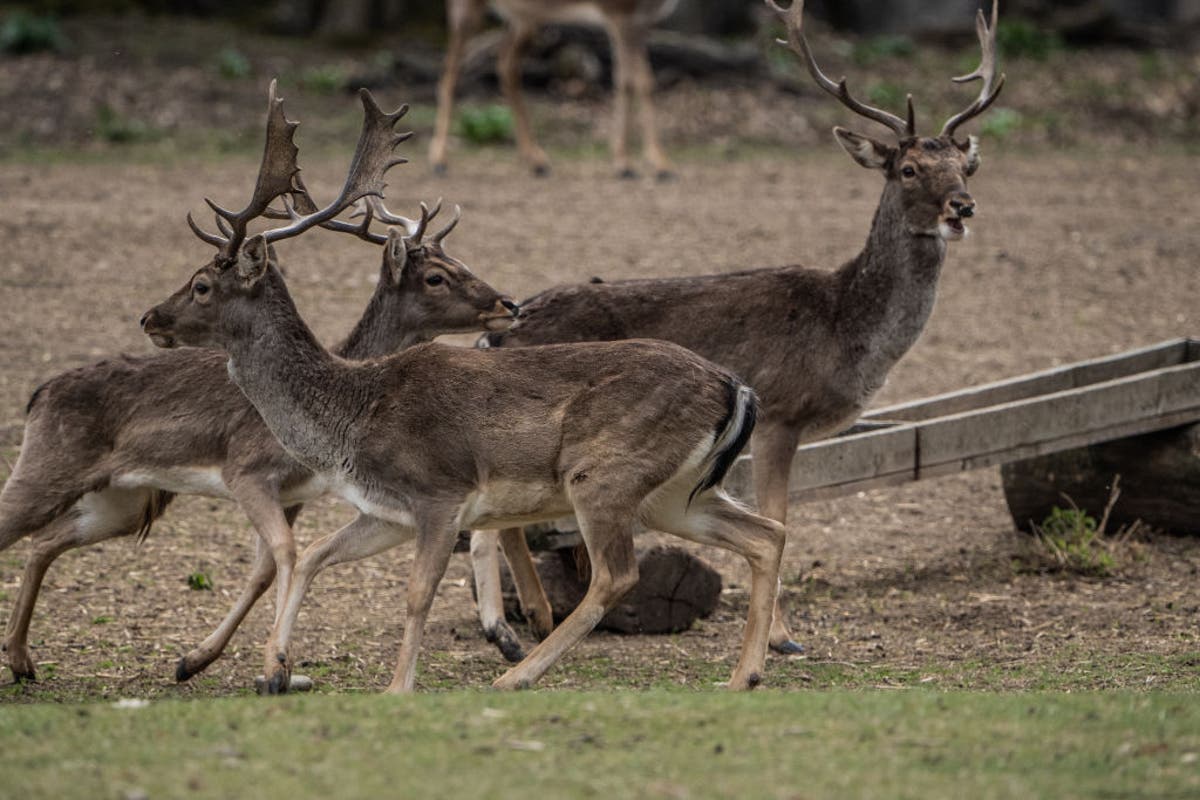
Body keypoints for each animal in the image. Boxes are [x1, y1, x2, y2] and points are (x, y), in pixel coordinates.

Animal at [0, 82, 518, 686]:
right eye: (436, 276)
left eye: (459, 262)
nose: (507, 303)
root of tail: (39, 394)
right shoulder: (246, 468)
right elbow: (284, 557)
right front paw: (267, 665)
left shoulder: (294, 492)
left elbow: (270, 566)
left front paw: (224, 661)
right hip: (47, 468)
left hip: (122, 499)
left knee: (46, 540)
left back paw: (21, 658)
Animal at [139, 84, 785, 696]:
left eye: (201, 285)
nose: (149, 318)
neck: (351, 416)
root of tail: (735, 387)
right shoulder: (386, 510)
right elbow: (315, 554)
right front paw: (273, 669)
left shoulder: (439, 491)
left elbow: (416, 591)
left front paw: (396, 686)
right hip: (674, 493)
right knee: (765, 534)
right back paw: (744, 676)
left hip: (606, 473)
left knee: (616, 574)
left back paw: (517, 675)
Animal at [430, 0, 678, 179]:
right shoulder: (620, 13)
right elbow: (637, 82)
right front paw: (647, 163)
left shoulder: (641, 22)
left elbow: (631, 81)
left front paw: (638, 162)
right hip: (467, 7)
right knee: (450, 69)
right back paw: (439, 160)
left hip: (525, 18)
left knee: (506, 63)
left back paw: (537, 161)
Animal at [468, 0, 1006, 661]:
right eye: (907, 168)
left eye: (964, 166)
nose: (962, 206)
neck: (848, 330)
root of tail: (498, 334)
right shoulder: (780, 413)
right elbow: (781, 516)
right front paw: (783, 638)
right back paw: (521, 626)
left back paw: (522, 625)